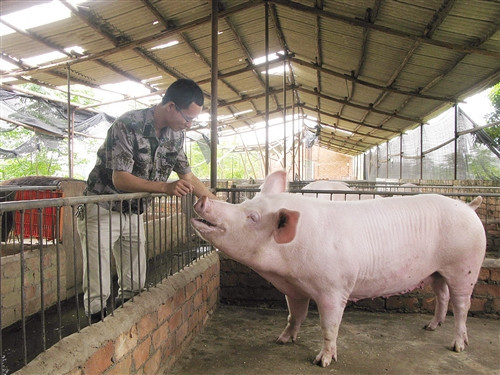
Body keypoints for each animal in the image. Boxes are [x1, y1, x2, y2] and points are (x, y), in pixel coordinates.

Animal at [189, 172, 486, 368]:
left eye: (252, 217)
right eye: (243, 204)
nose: (203, 200)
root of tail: (469, 207)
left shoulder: (334, 287)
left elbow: (329, 324)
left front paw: (322, 361)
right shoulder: (294, 289)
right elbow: (294, 315)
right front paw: (282, 340)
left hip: (465, 265)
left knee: (462, 304)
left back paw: (458, 346)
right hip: (437, 271)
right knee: (442, 294)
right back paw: (431, 326)